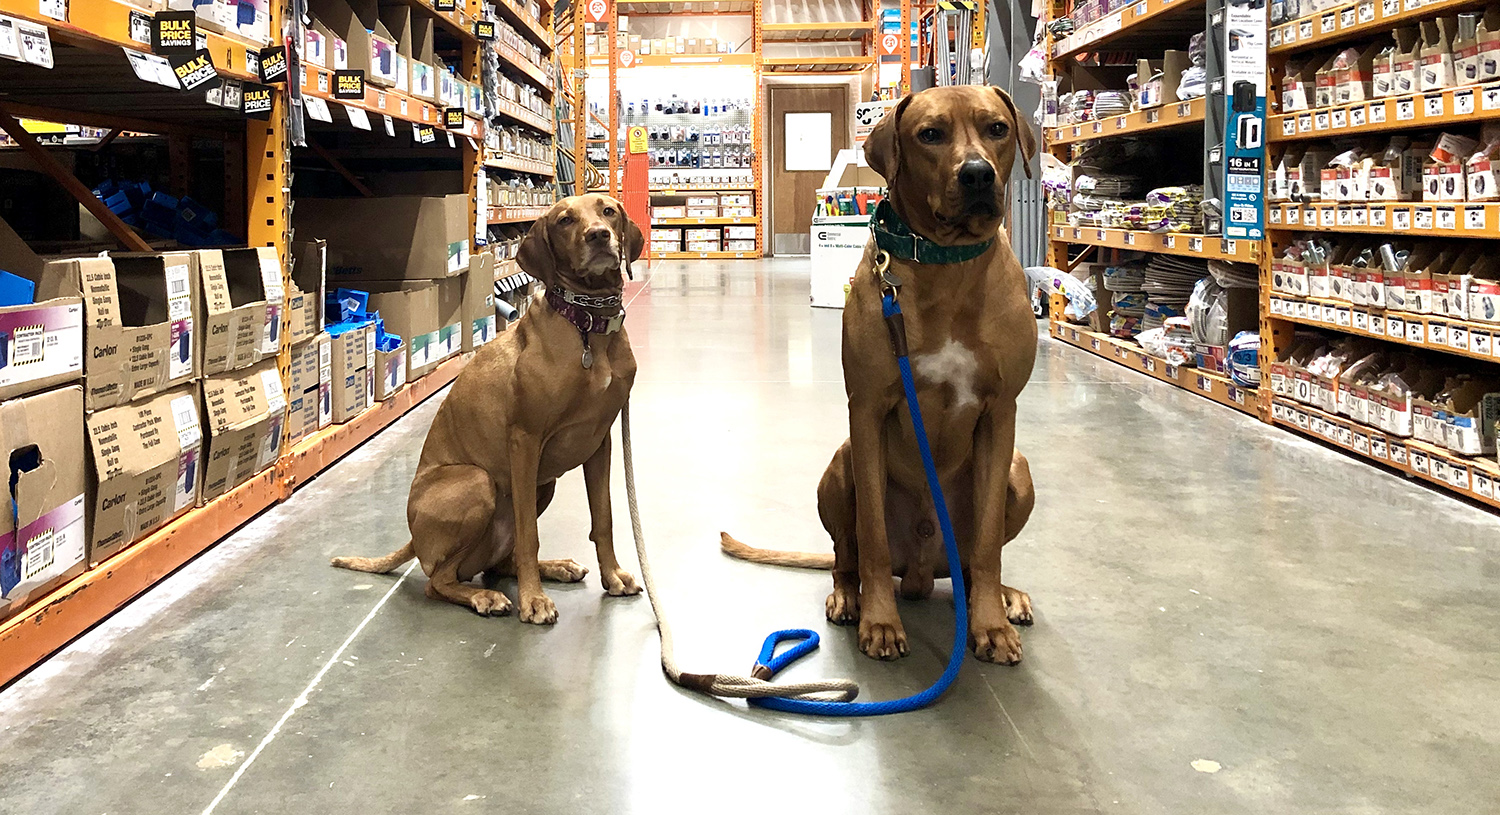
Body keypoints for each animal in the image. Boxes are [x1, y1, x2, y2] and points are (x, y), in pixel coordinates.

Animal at [334, 193, 645, 624]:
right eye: (565, 220)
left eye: (608, 211)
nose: (598, 236)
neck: (587, 325)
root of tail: (415, 538)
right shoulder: (525, 440)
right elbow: (529, 535)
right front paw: (533, 600)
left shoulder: (600, 441)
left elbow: (604, 518)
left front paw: (612, 575)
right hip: (478, 481)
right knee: (439, 580)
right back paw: (486, 597)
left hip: (542, 485)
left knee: (497, 563)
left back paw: (555, 568)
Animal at [720, 86, 1038, 666]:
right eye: (930, 134)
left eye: (998, 129)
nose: (978, 175)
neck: (947, 262)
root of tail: (923, 572)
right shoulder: (866, 409)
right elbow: (870, 533)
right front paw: (881, 623)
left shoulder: (1001, 412)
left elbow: (987, 544)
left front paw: (990, 625)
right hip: (840, 463)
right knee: (848, 555)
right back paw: (850, 597)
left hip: (1017, 471)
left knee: (981, 557)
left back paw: (1003, 597)